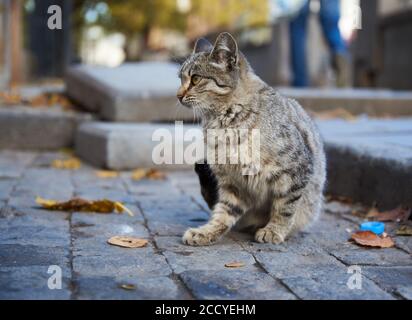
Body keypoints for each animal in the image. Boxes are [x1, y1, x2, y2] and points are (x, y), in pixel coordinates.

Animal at [176, 32, 326, 245]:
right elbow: (224, 212)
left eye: (195, 79)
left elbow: (284, 207)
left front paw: (273, 230)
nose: (178, 95)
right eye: (180, 79)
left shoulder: (296, 170)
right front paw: (208, 232)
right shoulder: (233, 183)